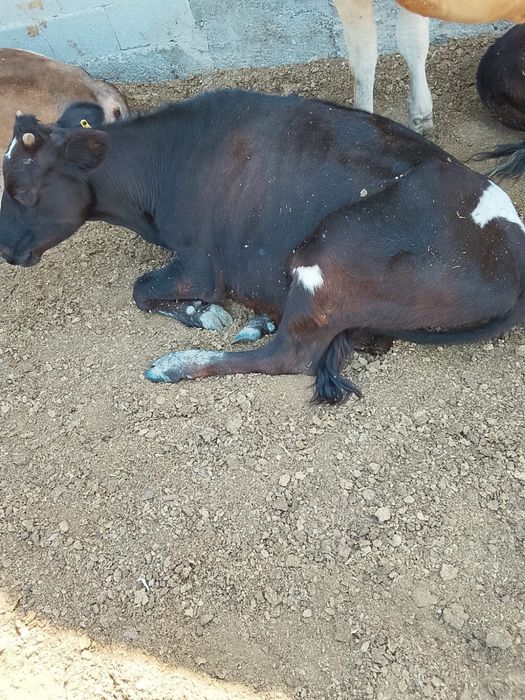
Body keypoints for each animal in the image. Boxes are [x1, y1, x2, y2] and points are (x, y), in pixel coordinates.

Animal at [1, 90, 525, 403]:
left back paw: (176, 364)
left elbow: (142, 289)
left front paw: (203, 314)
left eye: (22, 190)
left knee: (289, 356)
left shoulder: (200, 265)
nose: (4, 248)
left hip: (332, 250)